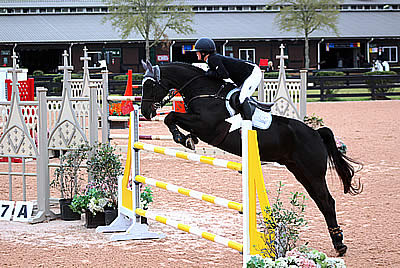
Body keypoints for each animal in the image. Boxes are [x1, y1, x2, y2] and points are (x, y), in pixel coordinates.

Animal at [141, 60, 362, 255]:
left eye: (150, 85)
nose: (145, 112)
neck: (203, 91)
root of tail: (316, 133)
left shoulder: (206, 126)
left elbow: (171, 116)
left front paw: (182, 138)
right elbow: (172, 118)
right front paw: (186, 138)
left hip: (313, 173)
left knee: (327, 202)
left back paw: (340, 244)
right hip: (300, 172)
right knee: (321, 201)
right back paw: (337, 241)